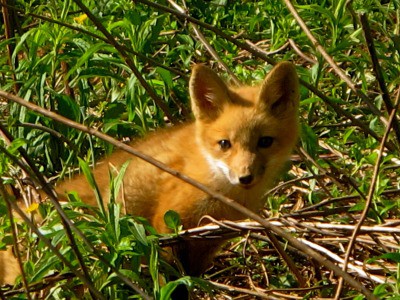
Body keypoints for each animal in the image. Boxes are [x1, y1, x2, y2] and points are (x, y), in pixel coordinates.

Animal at [0, 60, 298, 284]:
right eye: (225, 144)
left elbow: (194, 276)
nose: (244, 177)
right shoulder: (167, 227)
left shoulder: (208, 244)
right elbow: (173, 279)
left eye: (265, 142)